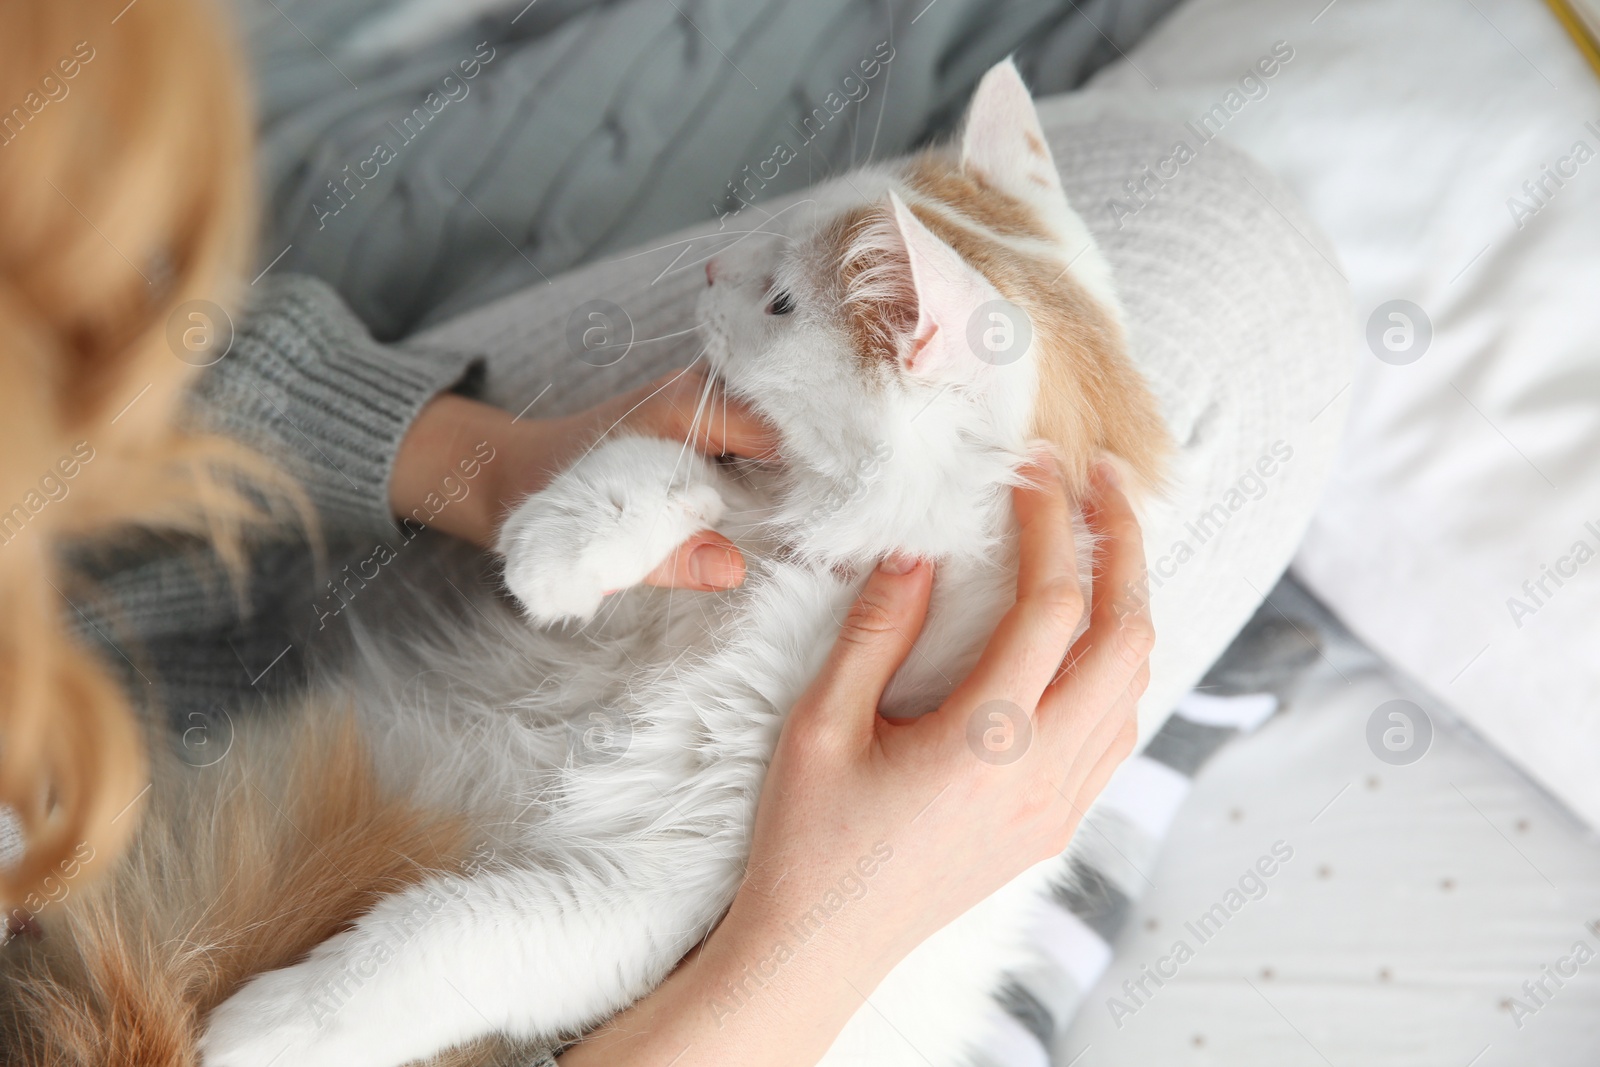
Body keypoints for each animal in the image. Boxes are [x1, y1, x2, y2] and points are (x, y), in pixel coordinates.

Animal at [3, 60, 1177, 1067]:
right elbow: (655, 477)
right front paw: (560, 547)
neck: (816, 564)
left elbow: (442, 938)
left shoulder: (645, 891)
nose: (709, 266)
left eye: (780, 300)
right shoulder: (714, 524)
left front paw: (270, 1026)